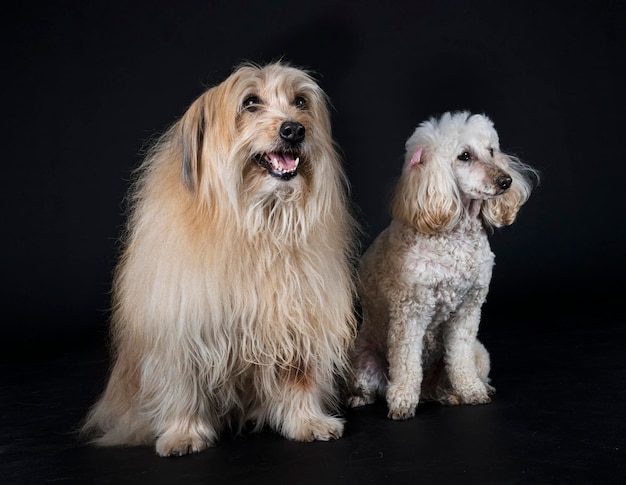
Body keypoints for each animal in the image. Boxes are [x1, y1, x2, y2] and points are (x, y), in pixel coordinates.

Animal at [80, 62, 358, 456]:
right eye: (250, 103)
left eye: (300, 101)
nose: (294, 129)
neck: (258, 221)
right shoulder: (181, 329)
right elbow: (182, 386)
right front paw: (183, 433)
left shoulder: (298, 319)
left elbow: (299, 377)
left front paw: (308, 421)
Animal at [346, 110, 536, 420]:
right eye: (464, 156)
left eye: (491, 151)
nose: (505, 180)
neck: (455, 235)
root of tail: (428, 392)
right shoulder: (410, 313)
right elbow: (406, 363)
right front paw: (402, 403)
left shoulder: (468, 311)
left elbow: (459, 357)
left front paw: (471, 391)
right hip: (361, 359)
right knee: (370, 385)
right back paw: (360, 398)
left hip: (480, 353)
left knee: (454, 376)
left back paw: (453, 394)